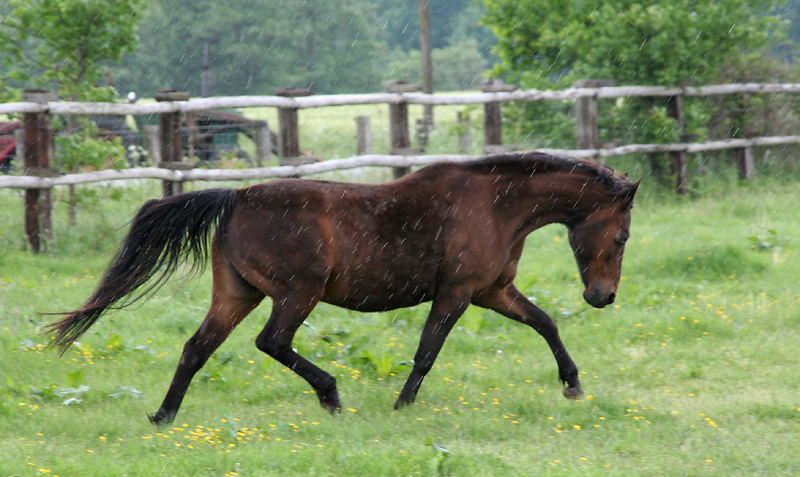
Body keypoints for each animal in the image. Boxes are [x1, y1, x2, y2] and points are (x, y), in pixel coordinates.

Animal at [48, 151, 636, 422]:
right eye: (623, 235)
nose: (602, 297)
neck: (495, 206)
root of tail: (236, 196)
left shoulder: (493, 291)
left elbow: (546, 323)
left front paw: (572, 384)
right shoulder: (458, 293)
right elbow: (427, 352)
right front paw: (402, 406)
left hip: (237, 294)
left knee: (197, 348)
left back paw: (164, 416)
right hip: (297, 292)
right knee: (272, 342)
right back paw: (330, 395)